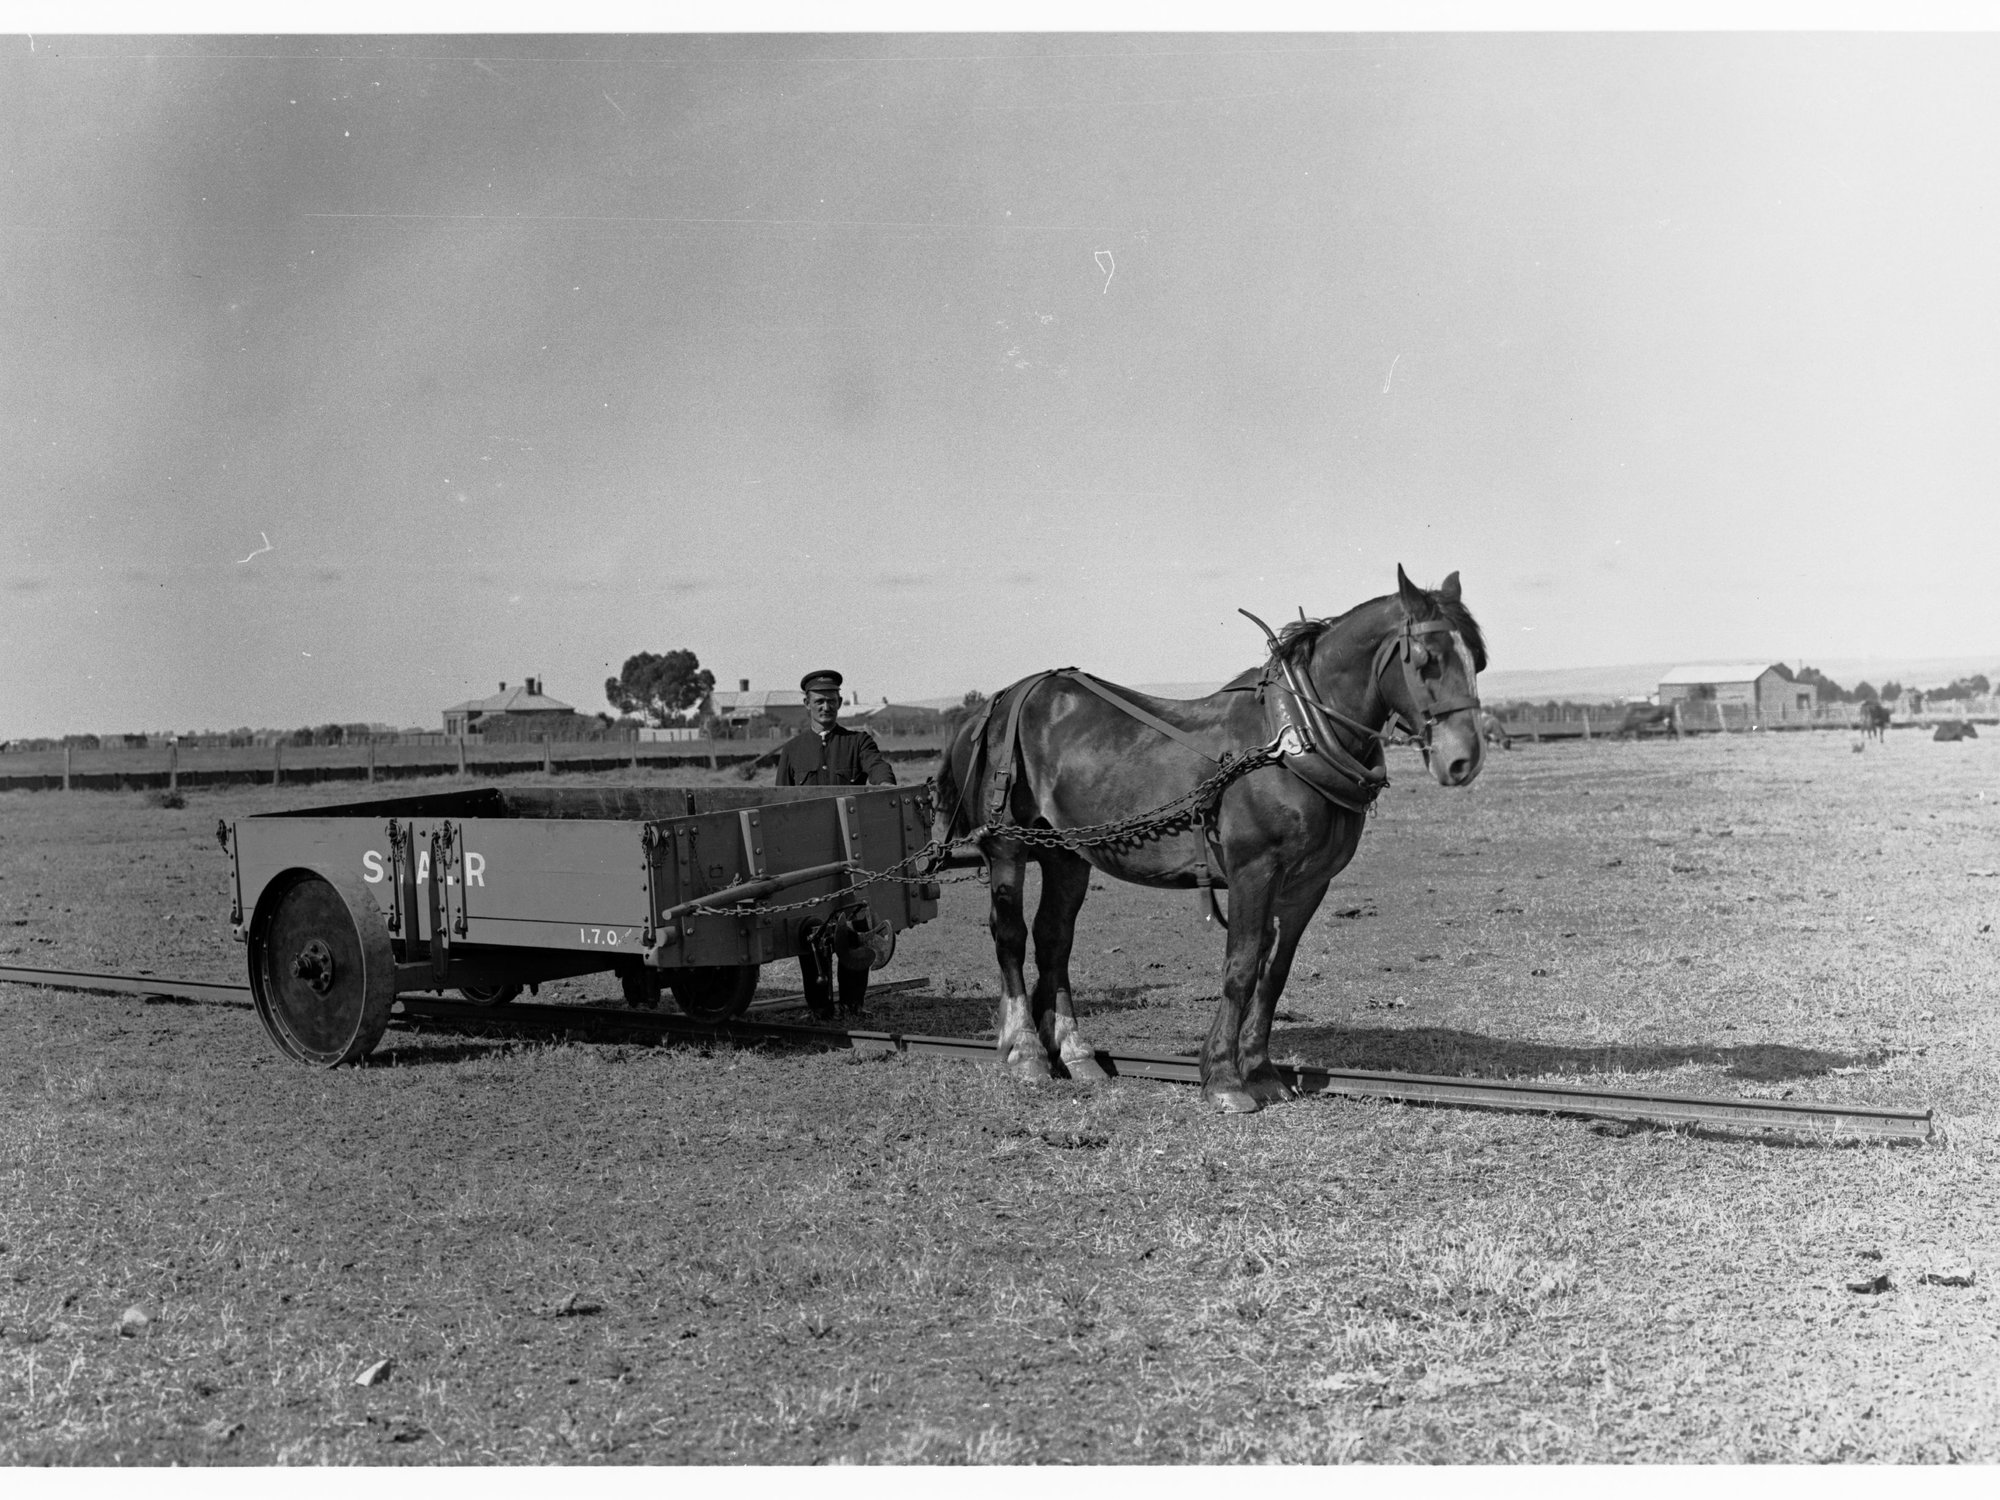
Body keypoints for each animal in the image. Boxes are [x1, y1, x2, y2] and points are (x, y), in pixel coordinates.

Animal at [931, 566, 1486, 1113]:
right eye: (1427, 660)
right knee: (1010, 935)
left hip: (1066, 854)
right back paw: (1026, 1051)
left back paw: (1075, 1052)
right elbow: (1240, 968)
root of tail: (992, 706)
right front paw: (1224, 1078)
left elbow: (1273, 973)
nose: (1464, 759)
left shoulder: (1307, 885)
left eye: (1477, 661)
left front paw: (1261, 1073)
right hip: (1008, 846)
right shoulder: (1253, 871)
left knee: (1054, 938)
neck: (1295, 738)